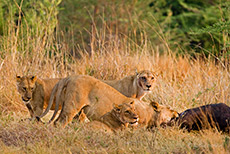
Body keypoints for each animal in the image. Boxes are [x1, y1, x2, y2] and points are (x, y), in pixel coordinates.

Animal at [37, 75, 177, 129]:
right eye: (170, 109)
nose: (177, 113)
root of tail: (69, 77)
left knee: (56, 121)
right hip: (72, 107)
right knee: (60, 123)